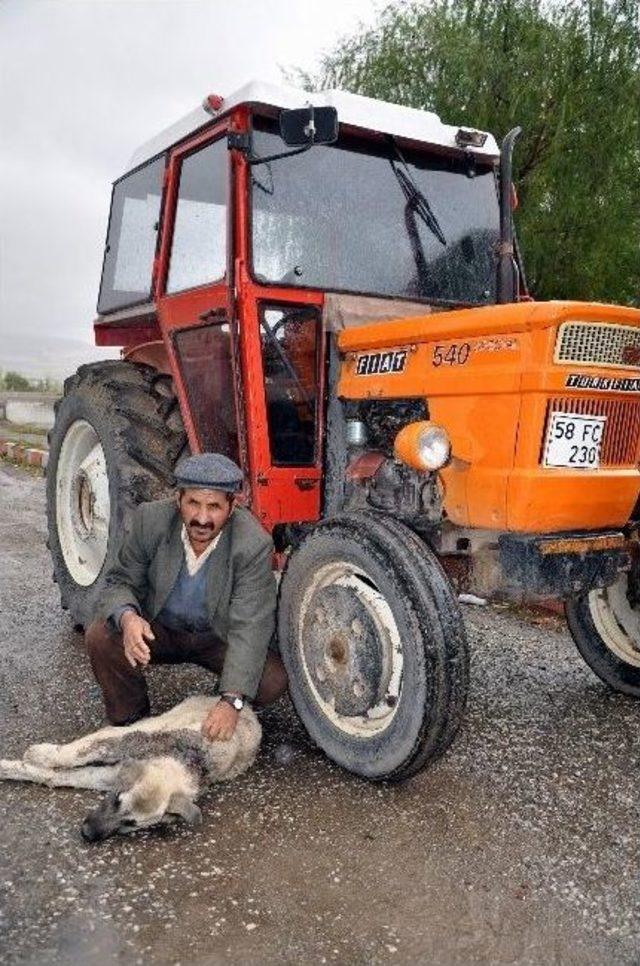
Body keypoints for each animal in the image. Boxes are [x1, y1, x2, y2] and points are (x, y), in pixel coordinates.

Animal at [0, 700, 262, 844]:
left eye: (130, 824)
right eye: (116, 800)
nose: (87, 834)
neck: (182, 761)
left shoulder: (109, 776)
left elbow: (54, 776)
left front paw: (15, 768)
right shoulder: (121, 740)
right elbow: (73, 752)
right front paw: (38, 754)